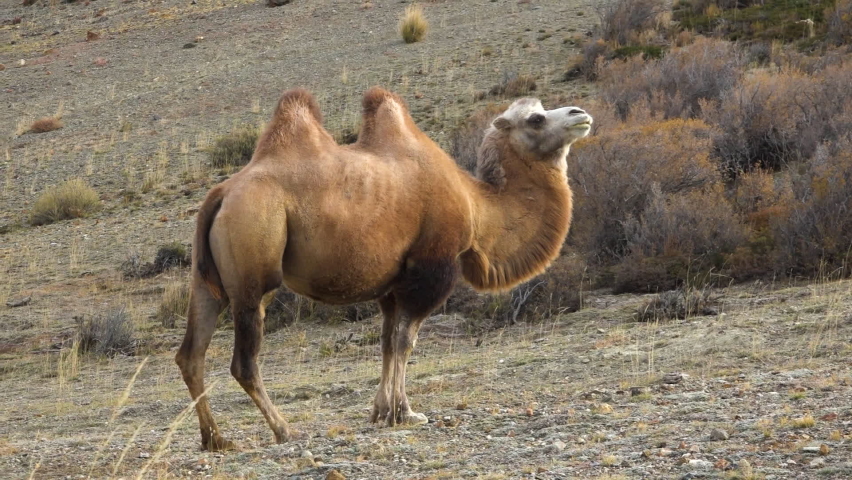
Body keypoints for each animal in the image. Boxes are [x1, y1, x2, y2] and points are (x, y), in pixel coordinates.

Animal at [174, 86, 592, 450]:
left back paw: (216, 439)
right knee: (243, 361)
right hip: (252, 266)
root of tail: (221, 194)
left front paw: (380, 412)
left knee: (190, 354)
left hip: (206, 280)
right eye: (535, 119)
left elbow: (387, 342)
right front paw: (404, 413)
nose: (581, 114)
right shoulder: (430, 268)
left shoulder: (392, 283)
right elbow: (407, 341)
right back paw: (284, 430)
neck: (476, 205)